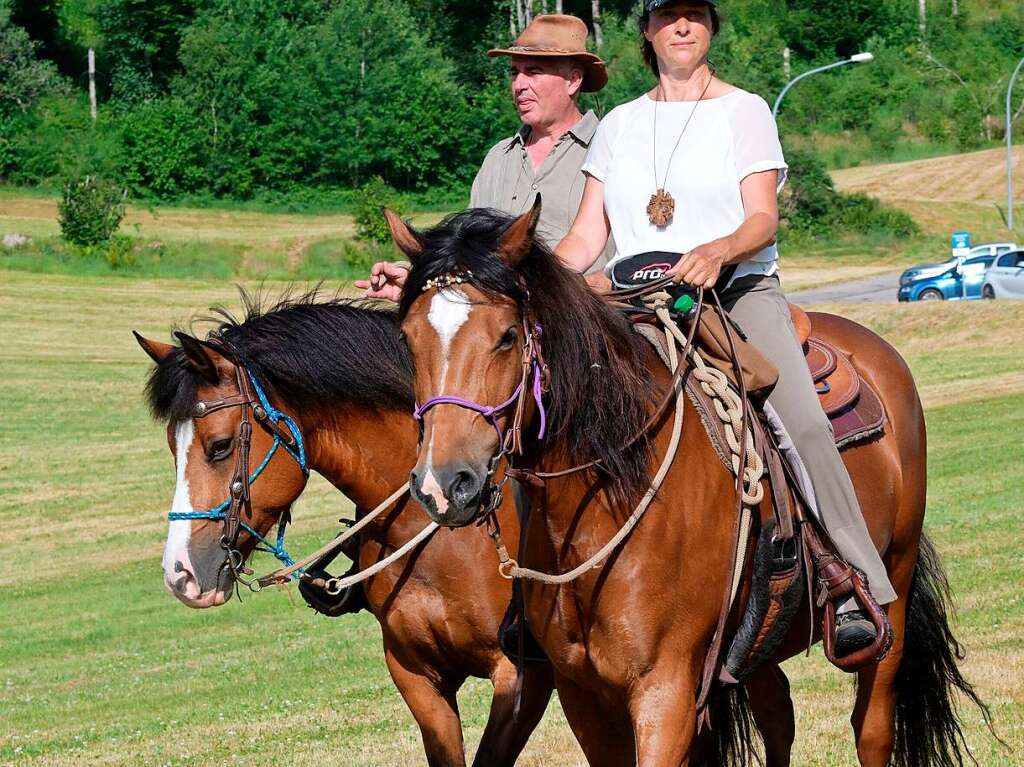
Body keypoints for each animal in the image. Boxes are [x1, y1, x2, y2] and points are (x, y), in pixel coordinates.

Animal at [387, 203, 987, 765]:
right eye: (409, 339)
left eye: (508, 336)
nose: (445, 483)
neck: (606, 497)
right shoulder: (584, 696)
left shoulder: (666, 689)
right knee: (779, 715)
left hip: (893, 593)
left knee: (872, 725)